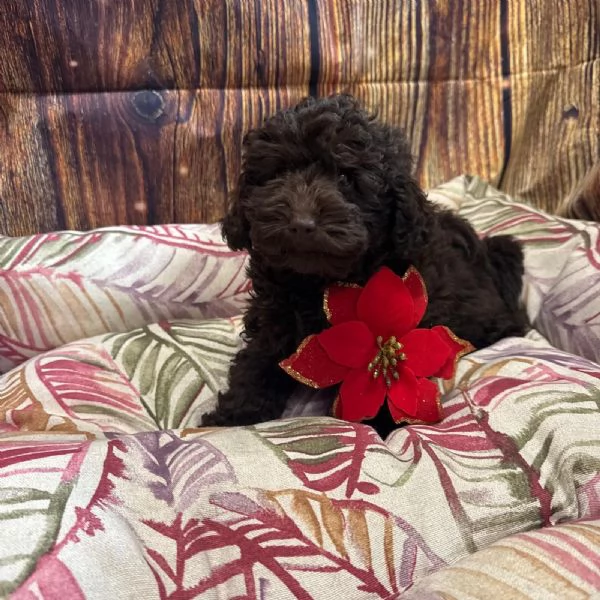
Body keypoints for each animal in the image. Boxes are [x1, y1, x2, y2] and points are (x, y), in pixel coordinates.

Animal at [203, 96, 528, 438]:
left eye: (346, 178)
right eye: (279, 173)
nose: (301, 223)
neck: (320, 283)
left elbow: (389, 377)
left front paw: (384, 425)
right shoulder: (275, 317)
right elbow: (258, 359)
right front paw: (235, 414)